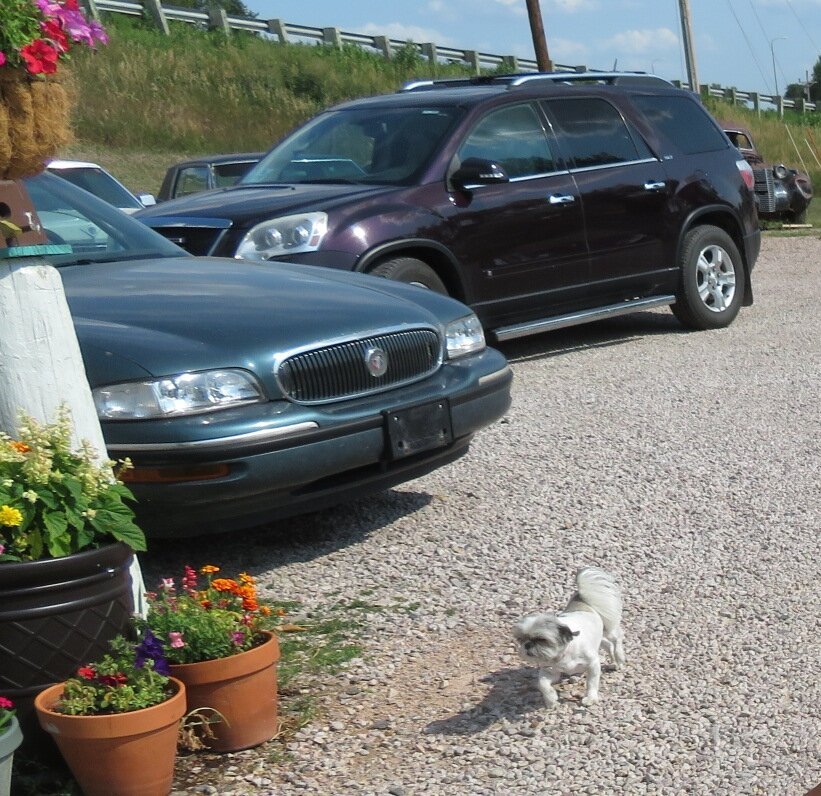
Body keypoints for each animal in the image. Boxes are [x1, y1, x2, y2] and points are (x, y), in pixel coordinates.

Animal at [516, 564, 624, 708]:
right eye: (521, 639)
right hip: (599, 638)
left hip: (608, 630)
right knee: (607, 645)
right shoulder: (551, 671)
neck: (563, 654)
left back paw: (619, 658)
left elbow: (591, 682)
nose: (527, 645)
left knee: (616, 639)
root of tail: (582, 600)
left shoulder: (593, 664)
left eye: (541, 639)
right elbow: (542, 684)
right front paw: (551, 700)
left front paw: (590, 698)